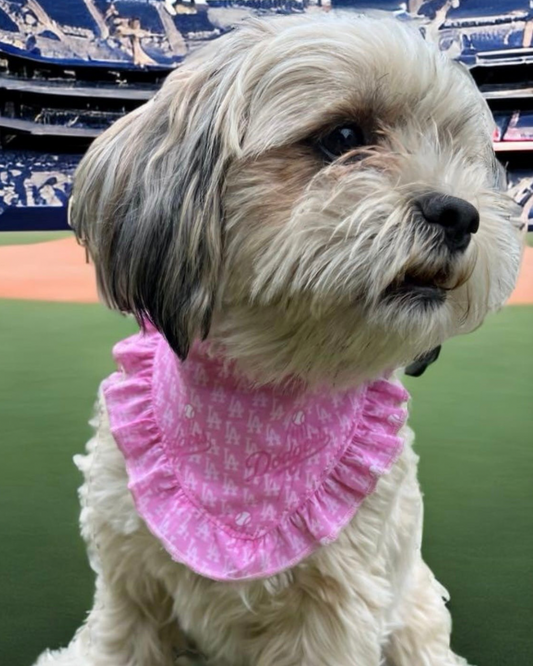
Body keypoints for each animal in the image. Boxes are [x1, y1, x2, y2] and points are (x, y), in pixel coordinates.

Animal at [35, 11, 520, 664]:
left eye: (461, 153)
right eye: (344, 137)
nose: (462, 213)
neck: (264, 386)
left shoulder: (334, 615)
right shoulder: (130, 592)